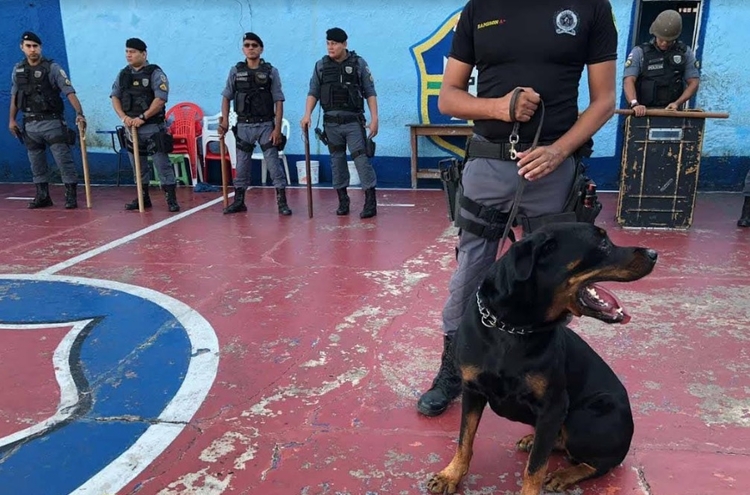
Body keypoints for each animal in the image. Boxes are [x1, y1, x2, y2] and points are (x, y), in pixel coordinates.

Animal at [428, 224, 656, 495]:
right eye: (602, 243)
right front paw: (450, 476)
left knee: (600, 463)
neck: (512, 329)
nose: (654, 254)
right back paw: (533, 440)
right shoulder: (473, 390)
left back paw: (563, 475)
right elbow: (464, 440)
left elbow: (535, 467)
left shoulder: (553, 406)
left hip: (586, 416)